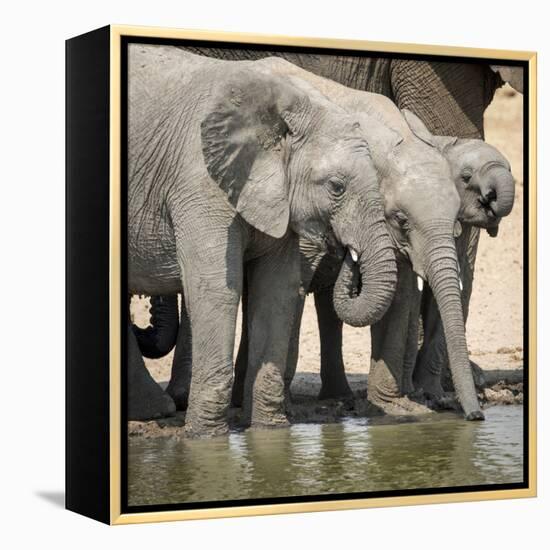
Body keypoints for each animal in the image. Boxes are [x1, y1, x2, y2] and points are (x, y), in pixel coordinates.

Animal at [128, 46, 402, 436]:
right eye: (336, 187)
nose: (347, 252)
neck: (287, 106)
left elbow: (277, 291)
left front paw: (269, 432)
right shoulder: (199, 183)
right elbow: (216, 289)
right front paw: (205, 440)